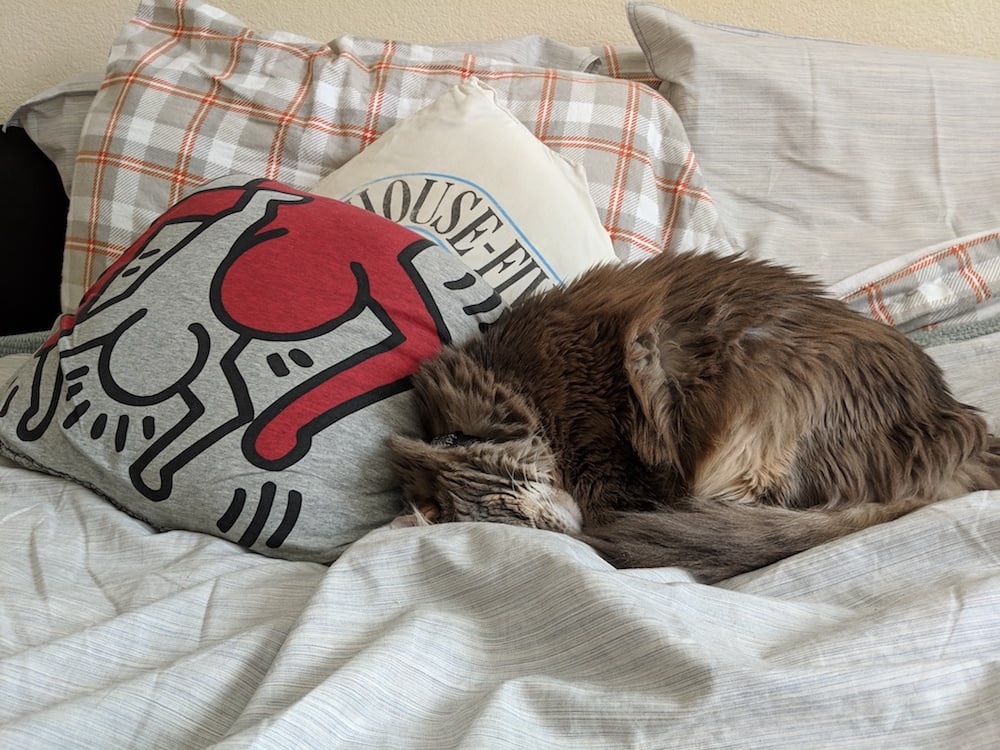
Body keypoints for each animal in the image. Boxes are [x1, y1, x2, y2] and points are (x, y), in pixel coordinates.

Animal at [386, 250, 996, 584]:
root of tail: (950, 428)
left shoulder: (604, 432)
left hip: (750, 400)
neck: (511, 382)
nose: (563, 531)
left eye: (513, 501)